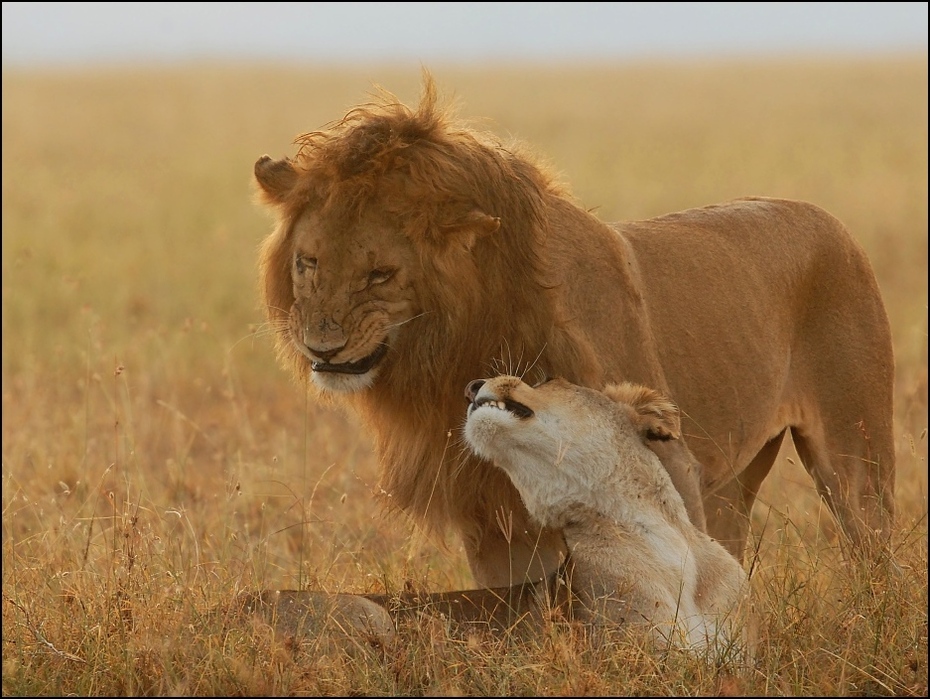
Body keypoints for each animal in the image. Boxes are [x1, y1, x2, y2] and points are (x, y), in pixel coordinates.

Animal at [252, 74, 892, 592]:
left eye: (380, 274)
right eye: (308, 263)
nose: (322, 348)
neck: (456, 345)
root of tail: (830, 221)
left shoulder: (668, 469)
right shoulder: (490, 512)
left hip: (856, 453)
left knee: (872, 541)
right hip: (734, 478)